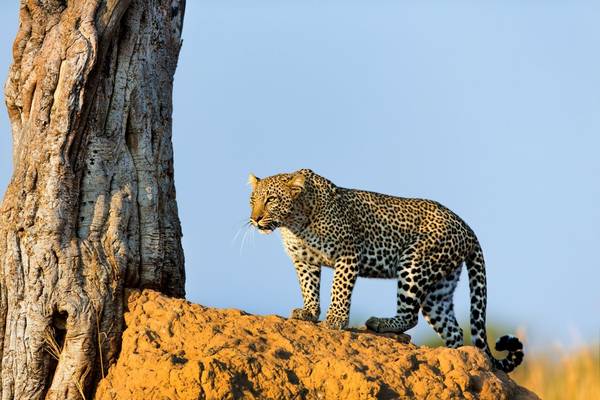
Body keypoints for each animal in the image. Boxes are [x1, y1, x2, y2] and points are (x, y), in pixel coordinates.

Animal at [246, 168, 524, 372]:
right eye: (252, 201)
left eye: (271, 200)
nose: (255, 219)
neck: (294, 223)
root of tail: (467, 227)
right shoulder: (304, 261)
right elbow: (308, 286)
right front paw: (309, 312)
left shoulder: (348, 255)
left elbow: (339, 290)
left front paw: (335, 319)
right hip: (438, 289)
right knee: (454, 329)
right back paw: (453, 357)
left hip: (414, 264)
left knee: (410, 316)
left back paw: (379, 323)